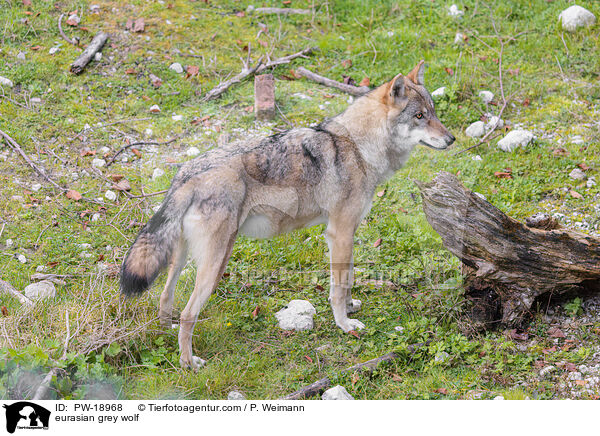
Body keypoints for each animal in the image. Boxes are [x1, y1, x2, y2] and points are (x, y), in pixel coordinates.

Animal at [120, 61, 454, 368]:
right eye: (419, 117)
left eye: (434, 112)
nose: (451, 139)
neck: (359, 146)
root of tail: (186, 173)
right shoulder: (339, 232)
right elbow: (338, 286)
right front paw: (344, 324)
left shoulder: (347, 234)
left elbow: (348, 278)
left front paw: (350, 309)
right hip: (215, 265)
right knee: (189, 314)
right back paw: (189, 363)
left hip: (181, 259)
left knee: (165, 296)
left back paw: (166, 333)